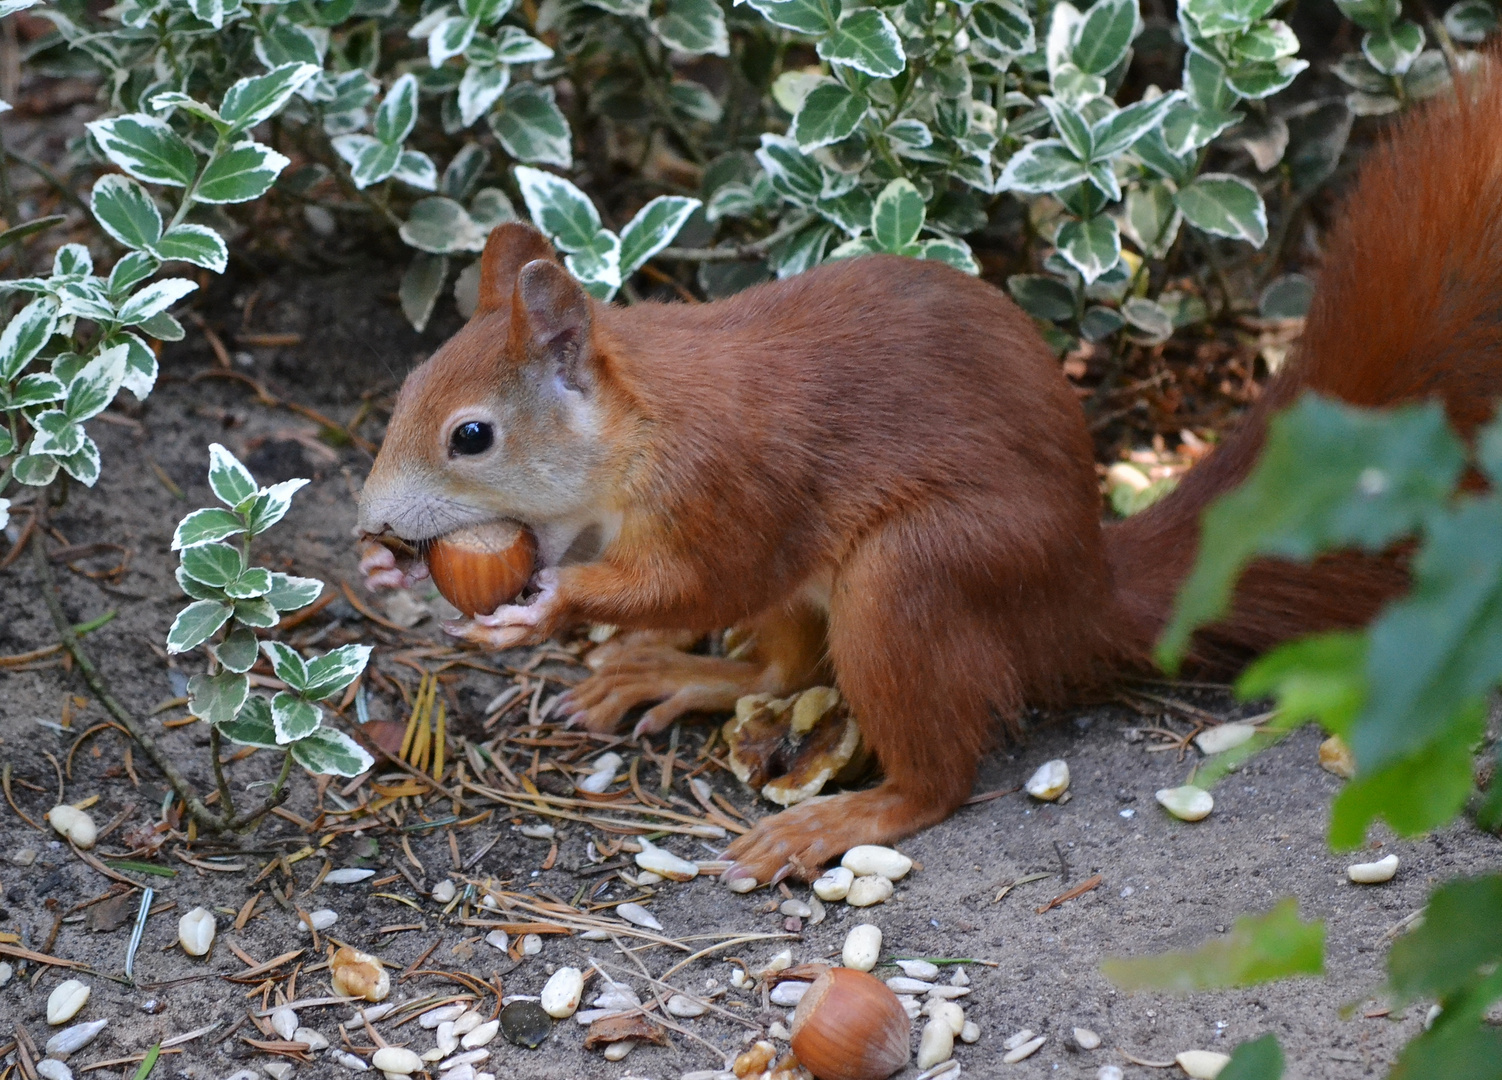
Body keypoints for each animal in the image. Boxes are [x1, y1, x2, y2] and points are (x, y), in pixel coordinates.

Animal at [357, 67, 1502, 889]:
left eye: (470, 437)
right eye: (402, 389)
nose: (370, 523)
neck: (636, 428)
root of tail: (1081, 590)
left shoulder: (727, 486)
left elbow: (696, 580)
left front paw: (546, 606)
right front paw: (394, 574)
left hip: (912, 574)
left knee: (932, 776)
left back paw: (845, 814)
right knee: (780, 668)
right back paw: (673, 674)